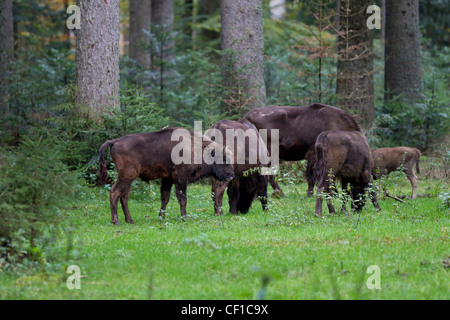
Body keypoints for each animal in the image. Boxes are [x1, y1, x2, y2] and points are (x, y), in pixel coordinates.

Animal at [99, 127, 236, 225]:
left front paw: (162, 218)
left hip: (129, 178)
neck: (197, 148)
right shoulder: (181, 179)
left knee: (124, 196)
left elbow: (165, 198)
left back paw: (130, 220)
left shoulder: (167, 179)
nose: (231, 175)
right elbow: (183, 199)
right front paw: (184, 218)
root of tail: (115, 141)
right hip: (126, 176)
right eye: (223, 158)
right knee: (115, 191)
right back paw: (116, 221)